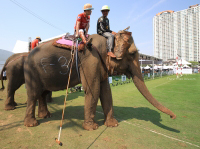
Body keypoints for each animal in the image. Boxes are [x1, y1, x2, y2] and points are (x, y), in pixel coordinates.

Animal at [23, 29, 177, 130]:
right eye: (133, 53)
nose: (173, 117)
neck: (108, 40)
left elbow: (106, 91)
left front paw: (113, 125)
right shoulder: (90, 59)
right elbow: (94, 89)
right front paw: (92, 128)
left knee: (42, 93)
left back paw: (45, 116)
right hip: (31, 72)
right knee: (33, 94)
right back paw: (32, 124)